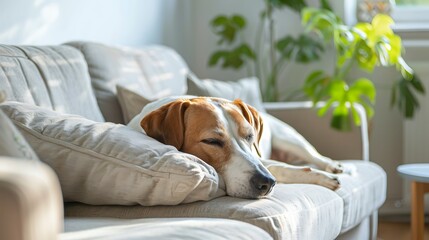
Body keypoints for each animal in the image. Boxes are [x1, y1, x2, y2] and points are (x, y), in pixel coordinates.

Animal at [129, 95, 342, 199]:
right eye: (211, 141)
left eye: (250, 136)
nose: (267, 182)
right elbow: (281, 168)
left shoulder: (260, 158)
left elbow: (286, 168)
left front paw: (325, 176)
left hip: (290, 140)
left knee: (315, 156)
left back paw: (333, 166)